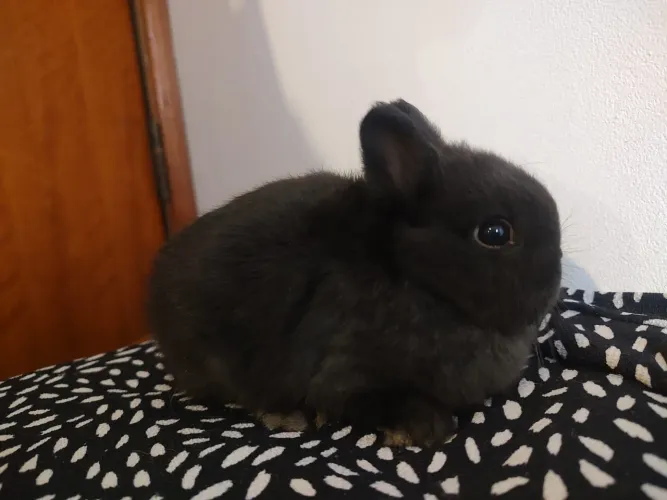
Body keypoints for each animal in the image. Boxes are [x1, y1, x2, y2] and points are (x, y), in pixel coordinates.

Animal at [147, 99, 562, 447]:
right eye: (495, 233)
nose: (555, 281)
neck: (420, 283)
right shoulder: (344, 375)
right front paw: (428, 428)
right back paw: (287, 416)